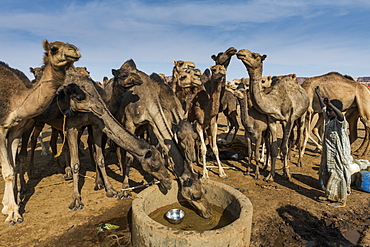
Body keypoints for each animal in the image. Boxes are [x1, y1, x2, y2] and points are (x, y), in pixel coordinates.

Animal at [0, 39, 80, 225]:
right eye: (54, 48)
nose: (74, 50)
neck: (17, 101)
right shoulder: (1, 128)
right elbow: (7, 170)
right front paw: (13, 213)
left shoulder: (15, 129)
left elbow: (12, 166)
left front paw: (9, 206)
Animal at [237, 49, 310, 181]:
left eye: (255, 55)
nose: (241, 52)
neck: (274, 101)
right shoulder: (272, 119)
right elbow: (274, 148)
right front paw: (270, 176)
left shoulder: (288, 119)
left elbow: (284, 148)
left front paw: (287, 174)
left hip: (301, 116)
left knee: (298, 138)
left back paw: (299, 162)